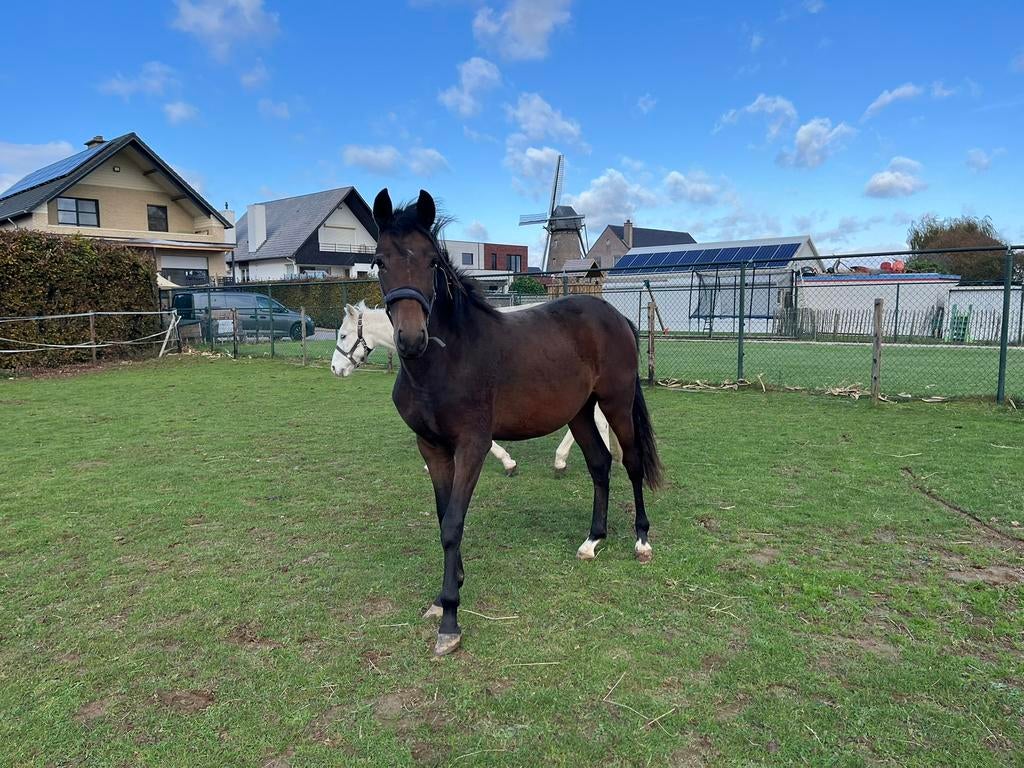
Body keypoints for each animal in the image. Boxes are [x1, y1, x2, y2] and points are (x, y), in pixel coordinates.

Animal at [372, 188, 662, 656]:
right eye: (380, 261)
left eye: (433, 261)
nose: (412, 339)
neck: (447, 360)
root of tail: (617, 317)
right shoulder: (432, 448)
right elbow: (443, 517)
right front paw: (444, 594)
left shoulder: (472, 445)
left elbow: (453, 524)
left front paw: (450, 620)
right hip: (580, 413)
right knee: (600, 465)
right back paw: (592, 540)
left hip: (615, 404)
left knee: (631, 463)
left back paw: (641, 541)